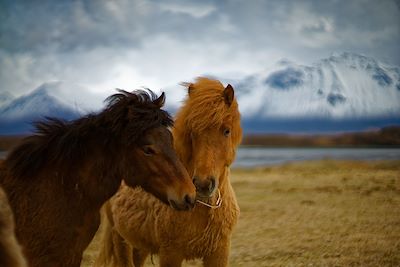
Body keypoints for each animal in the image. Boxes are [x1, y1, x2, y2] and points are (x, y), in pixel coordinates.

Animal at [95, 76, 242, 266]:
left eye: (226, 131)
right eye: (193, 133)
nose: (202, 184)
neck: (203, 207)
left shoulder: (219, 253)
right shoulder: (170, 254)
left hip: (139, 246)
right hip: (120, 240)